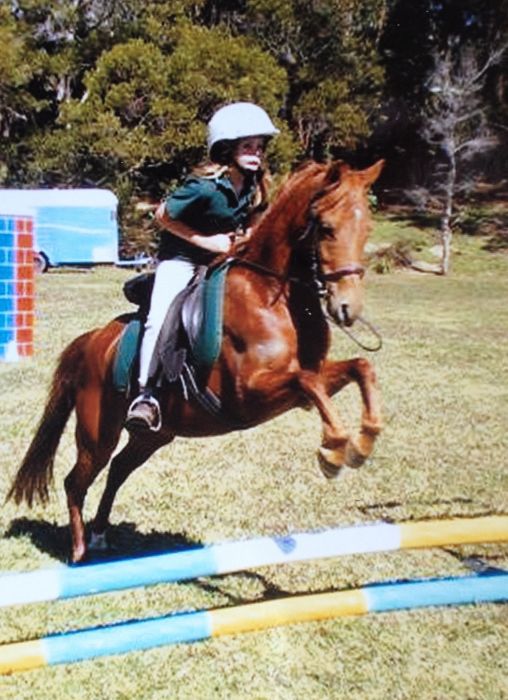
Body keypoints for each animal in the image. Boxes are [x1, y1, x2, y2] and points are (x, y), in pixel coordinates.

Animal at [8, 159, 384, 563]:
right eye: (327, 228)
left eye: (367, 229)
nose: (348, 309)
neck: (270, 294)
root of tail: (93, 340)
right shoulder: (250, 394)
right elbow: (310, 383)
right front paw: (334, 452)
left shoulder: (299, 385)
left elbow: (359, 368)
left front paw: (364, 442)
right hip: (98, 436)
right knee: (76, 481)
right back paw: (79, 552)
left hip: (154, 436)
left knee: (118, 470)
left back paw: (99, 535)